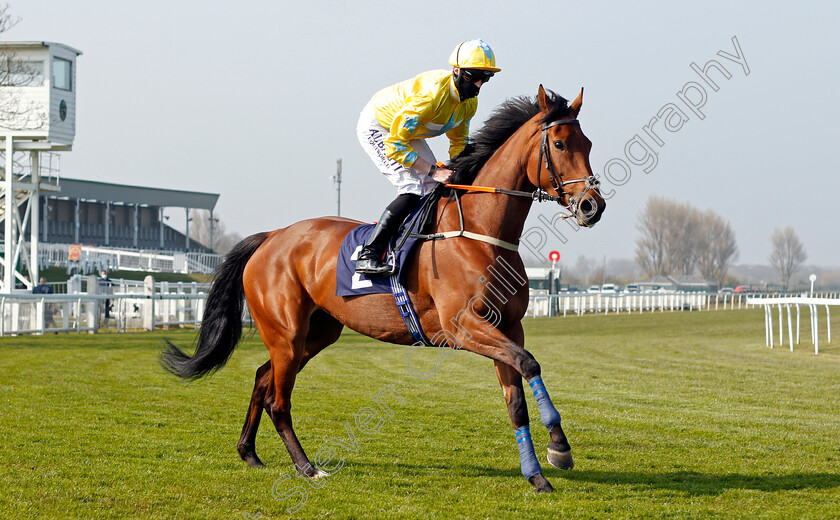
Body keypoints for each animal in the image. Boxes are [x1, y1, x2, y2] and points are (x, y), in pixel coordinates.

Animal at [161, 86, 604, 492]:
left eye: (588, 144)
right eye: (559, 144)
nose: (592, 206)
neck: (481, 233)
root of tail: (271, 237)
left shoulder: (509, 327)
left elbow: (516, 400)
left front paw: (538, 474)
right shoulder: (463, 328)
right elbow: (529, 364)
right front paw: (559, 447)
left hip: (316, 333)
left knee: (261, 377)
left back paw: (249, 452)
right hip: (286, 333)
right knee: (278, 400)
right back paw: (307, 467)